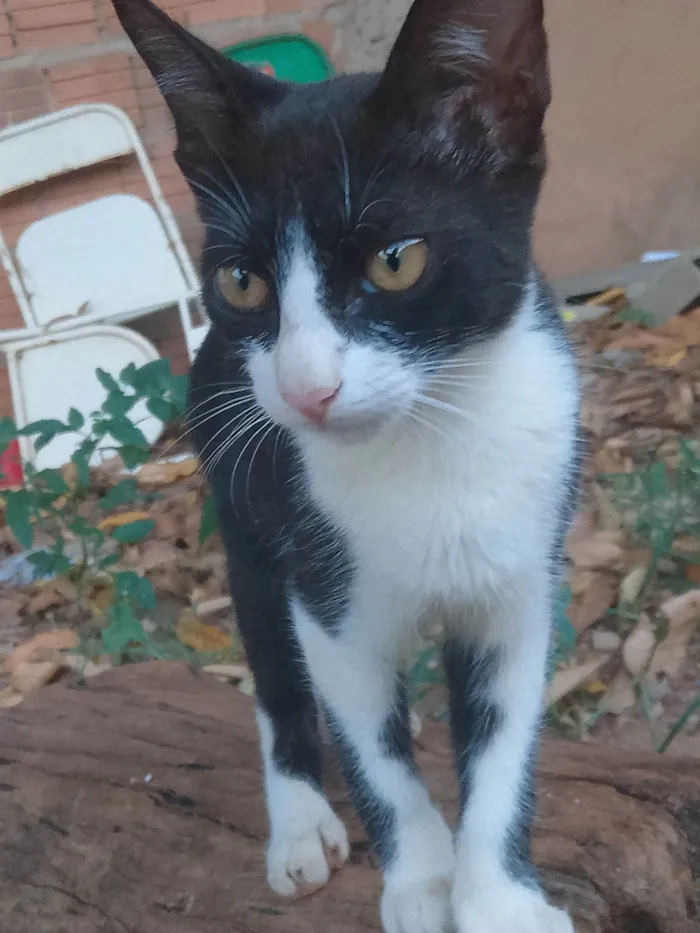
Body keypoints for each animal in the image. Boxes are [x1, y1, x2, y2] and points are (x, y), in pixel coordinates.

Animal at [115, 1, 580, 932]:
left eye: (395, 261)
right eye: (242, 282)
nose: (306, 388)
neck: (431, 436)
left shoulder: (521, 581)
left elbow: (505, 744)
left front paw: (499, 898)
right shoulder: (324, 590)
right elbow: (372, 747)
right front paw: (422, 884)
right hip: (242, 507)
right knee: (274, 672)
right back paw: (297, 820)